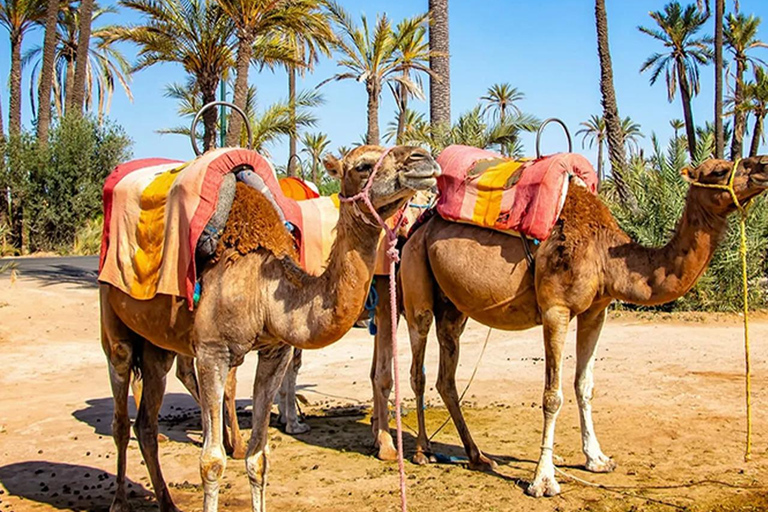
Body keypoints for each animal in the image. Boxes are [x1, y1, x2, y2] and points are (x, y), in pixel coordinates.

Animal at [99, 144, 440, 512]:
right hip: (114, 321)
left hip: (156, 345)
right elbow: (211, 462)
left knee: (147, 421)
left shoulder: (275, 351)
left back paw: (168, 500)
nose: (423, 158)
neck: (261, 288)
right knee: (121, 412)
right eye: (363, 166)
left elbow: (259, 458)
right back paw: (119, 501)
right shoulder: (212, 352)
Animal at [400, 158, 768, 498]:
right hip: (416, 281)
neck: (605, 253)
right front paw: (543, 480)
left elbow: (584, 385)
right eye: (719, 171)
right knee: (418, 367)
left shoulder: (596, 311)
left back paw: (477, 456)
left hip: (453, 307)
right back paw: (423, 452)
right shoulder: (556, 309)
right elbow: (552, 395)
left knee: (446, 377)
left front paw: (597, 459)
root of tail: (418, 226)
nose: (764, 165)